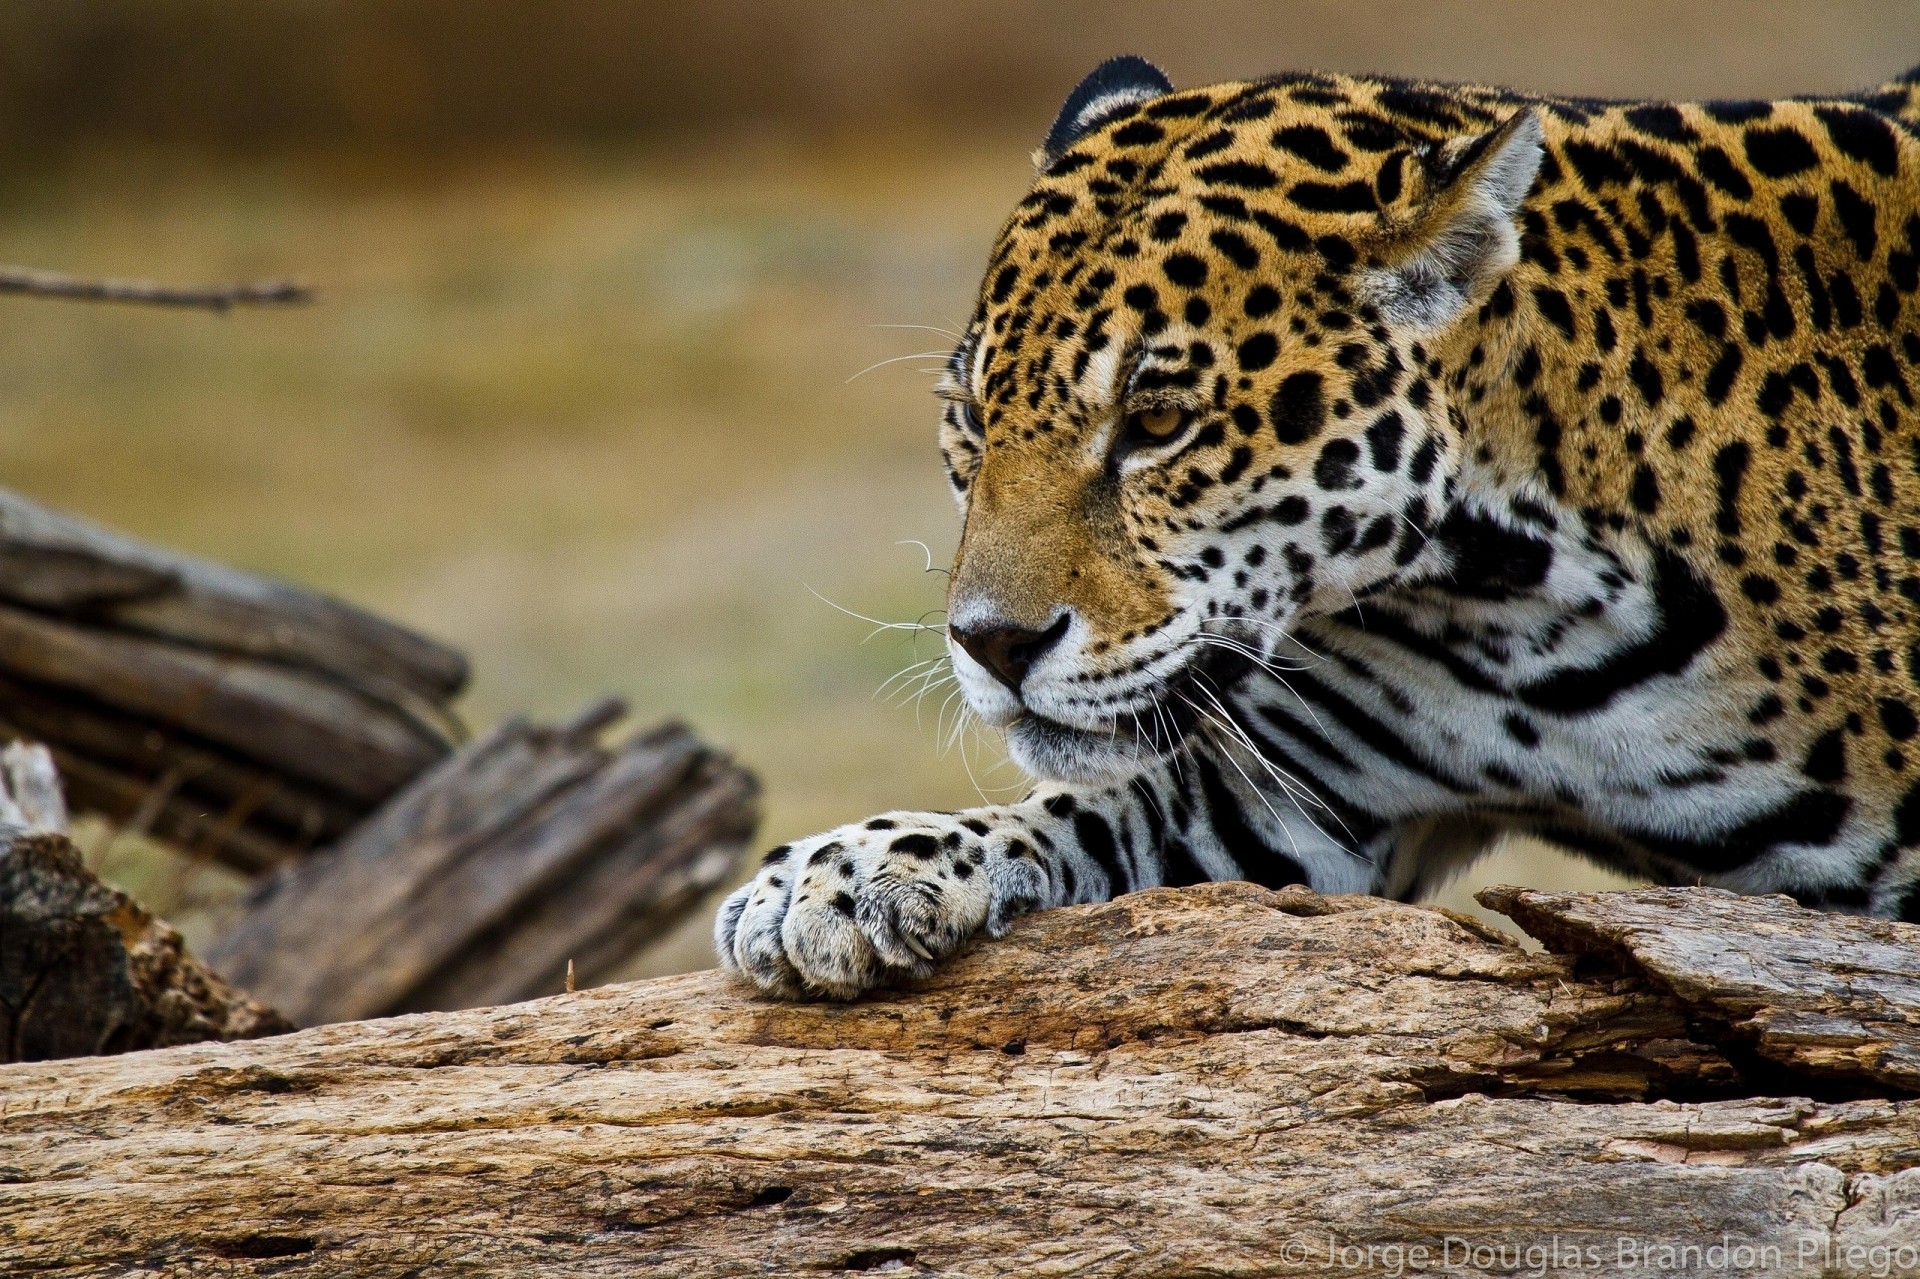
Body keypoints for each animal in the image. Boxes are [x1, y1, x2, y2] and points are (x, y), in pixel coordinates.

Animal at [718, 53, 1920, 999]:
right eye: (971, 418)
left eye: (1158, 421)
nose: (992, 644)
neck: (1512, 609)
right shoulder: (1292, 793)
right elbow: (1089, 802)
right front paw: (832, 877)